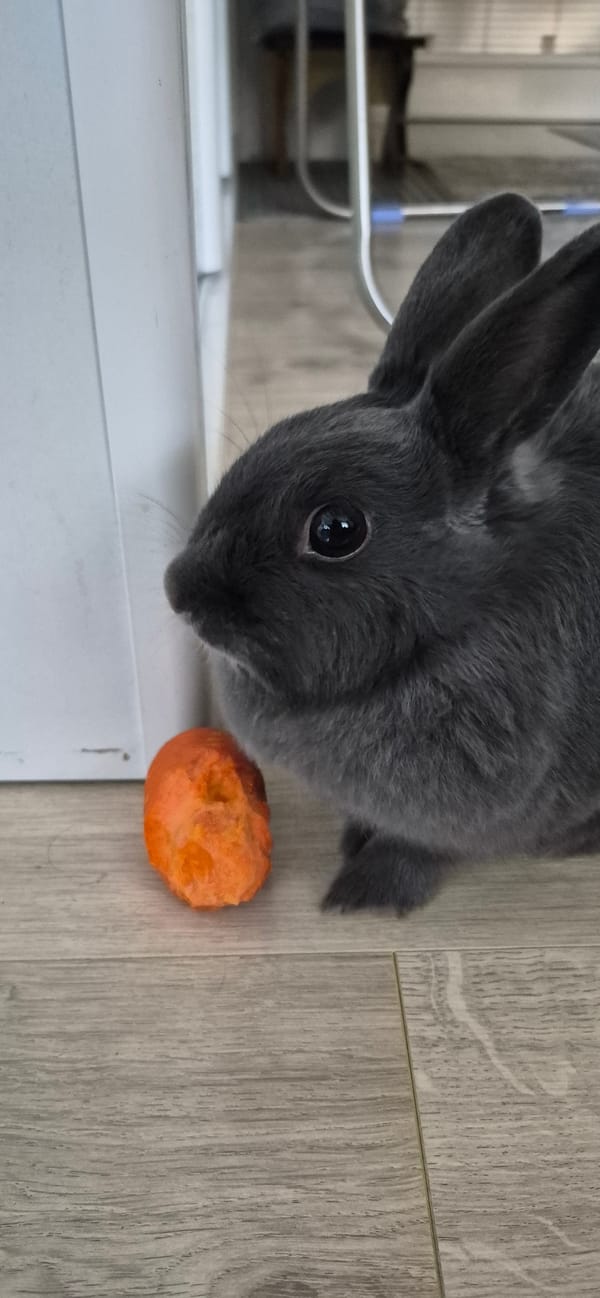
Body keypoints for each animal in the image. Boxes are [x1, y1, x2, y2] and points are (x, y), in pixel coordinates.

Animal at [165, 192, 600, 913]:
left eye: (336, 530)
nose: (179, 590)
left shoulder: (453, 817)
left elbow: (414, 849)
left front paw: (360, 894)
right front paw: (352, 843)